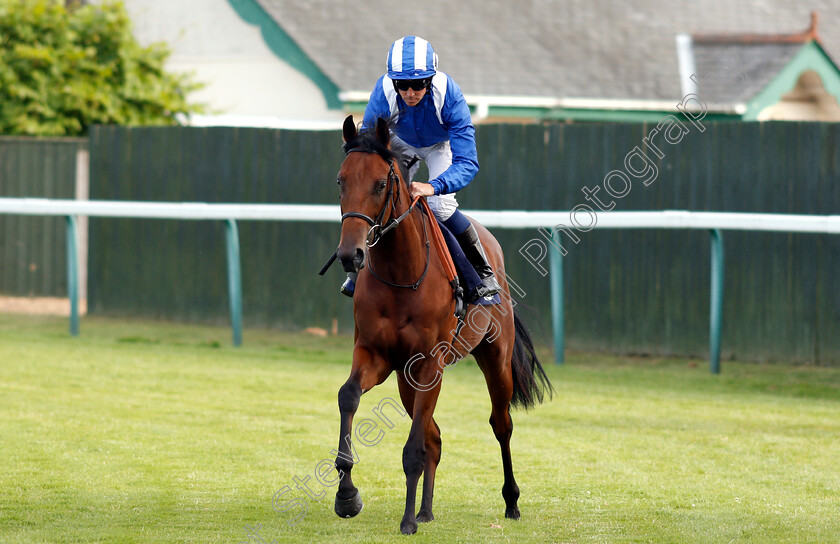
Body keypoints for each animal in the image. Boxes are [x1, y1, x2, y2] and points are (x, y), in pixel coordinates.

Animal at [332, 116, 556, 536]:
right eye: (341, 180)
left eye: (381, 184)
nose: (350, 255)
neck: (400, 274)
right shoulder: (376, 354)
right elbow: (348, 396)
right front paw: (347, 495)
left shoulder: (430, 363)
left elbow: (414, 447)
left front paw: (405, 521)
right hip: (407, 379)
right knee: (434, 437)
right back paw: (426, 510)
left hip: (495, 361)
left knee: (500, 424)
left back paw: (511, 501)